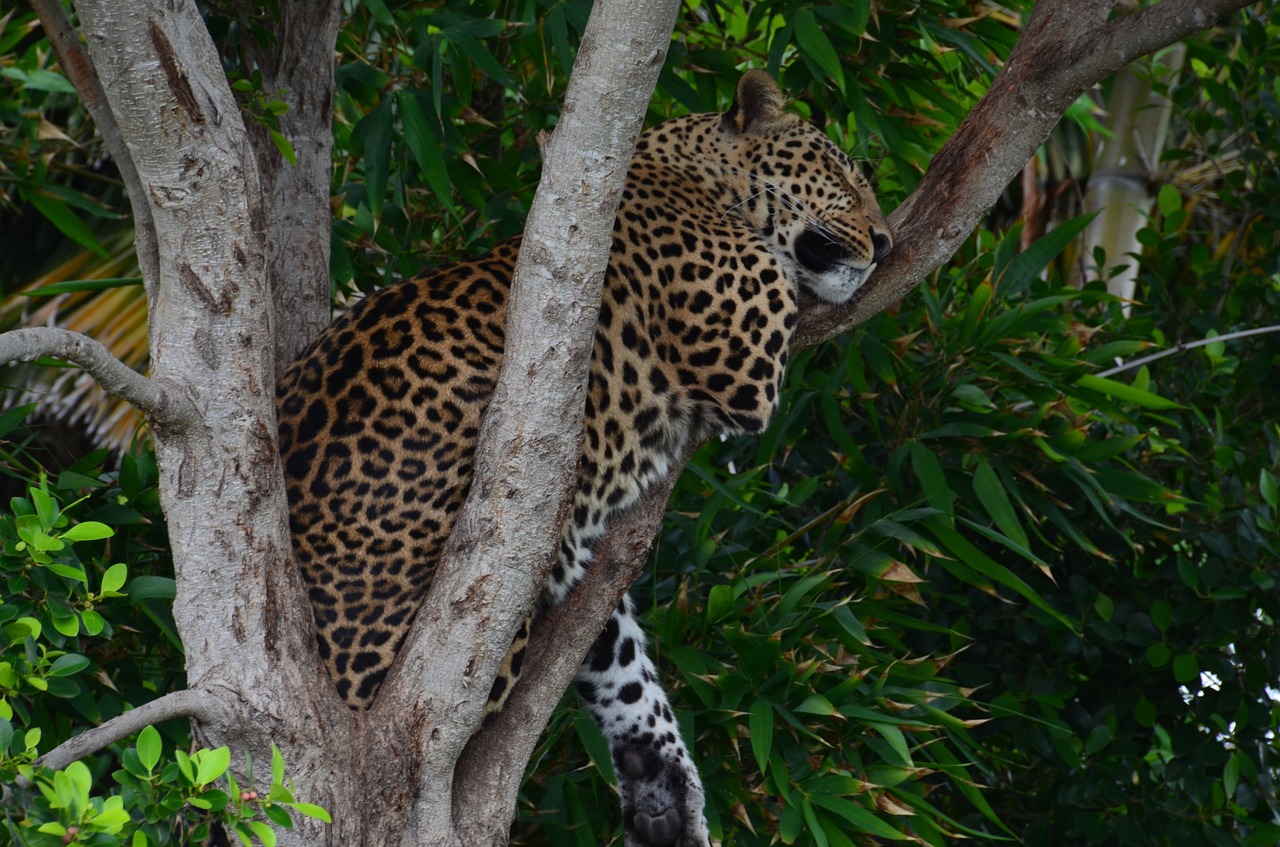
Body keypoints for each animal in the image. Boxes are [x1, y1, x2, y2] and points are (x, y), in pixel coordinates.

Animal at [275, 72, 890, 847]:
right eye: (841, 174)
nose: (887, 242)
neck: (687, 170)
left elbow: (624, 664)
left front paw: (665, 790)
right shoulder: (745, 348)